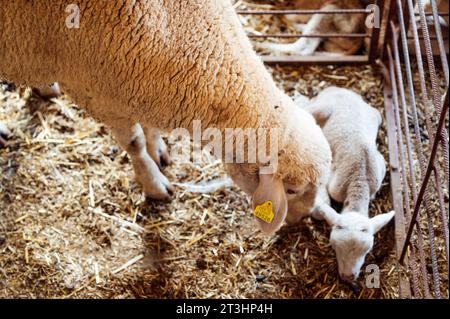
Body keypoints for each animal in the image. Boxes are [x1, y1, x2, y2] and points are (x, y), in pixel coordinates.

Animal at [0, 0, 330, 235]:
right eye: (292, 190)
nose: (303, 218)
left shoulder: (141, 80)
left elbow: (148, 126)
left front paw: (157, 148)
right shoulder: (99, 94)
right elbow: (133, 143)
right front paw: (154, 183)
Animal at [298, 86, 396, 284]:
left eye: (367, 250)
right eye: (333, 246)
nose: (348, 277)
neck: (359, 181)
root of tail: (337, 88)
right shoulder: (333, 184)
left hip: (376, 114)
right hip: (319, 108)